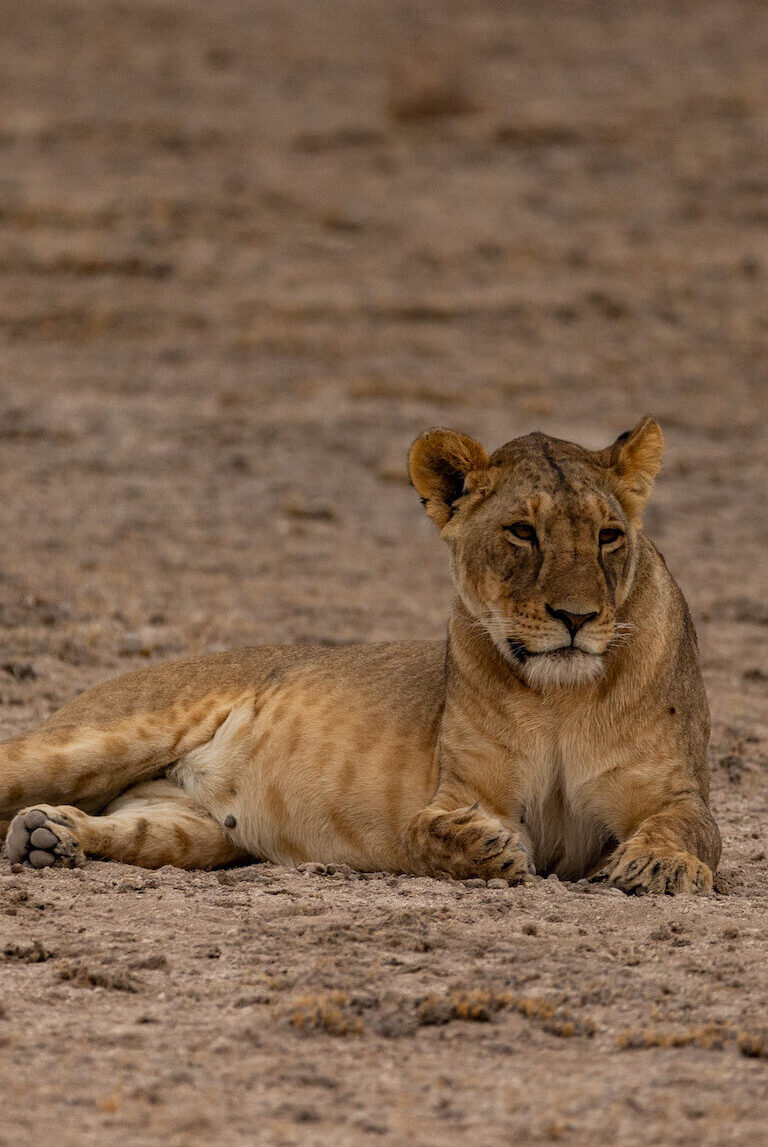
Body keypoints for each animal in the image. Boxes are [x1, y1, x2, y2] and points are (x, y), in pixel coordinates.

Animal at [0, 417, 724, 890]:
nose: (576, 618)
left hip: (196, 831)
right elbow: (429, 831)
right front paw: (485, 846)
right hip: (97, 739)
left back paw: (50, 836)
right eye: (522, 531)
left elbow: (688, 828)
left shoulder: (674, 791)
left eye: (608, 536)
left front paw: (658, 866)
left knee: (127, 828)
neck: (560, 697)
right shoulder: (460, 791)